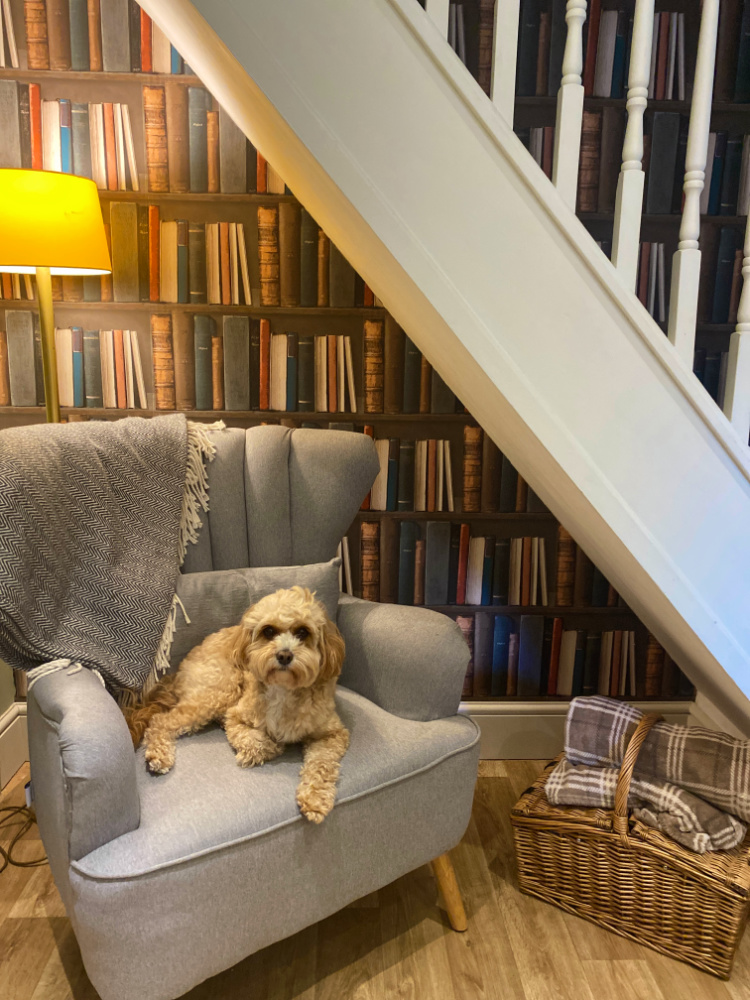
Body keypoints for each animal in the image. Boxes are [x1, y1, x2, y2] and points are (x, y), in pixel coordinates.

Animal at [127, 584, 352, 820]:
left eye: (303, 632)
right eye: (268, 631)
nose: (284, 655)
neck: (284, 689)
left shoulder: (333, 734)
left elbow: (322, 764)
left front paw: (315, 798)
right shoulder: (236, 715)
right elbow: (256, 741)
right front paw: (272, 746)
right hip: (220, 690)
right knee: (160, 720)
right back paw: (158, 755)